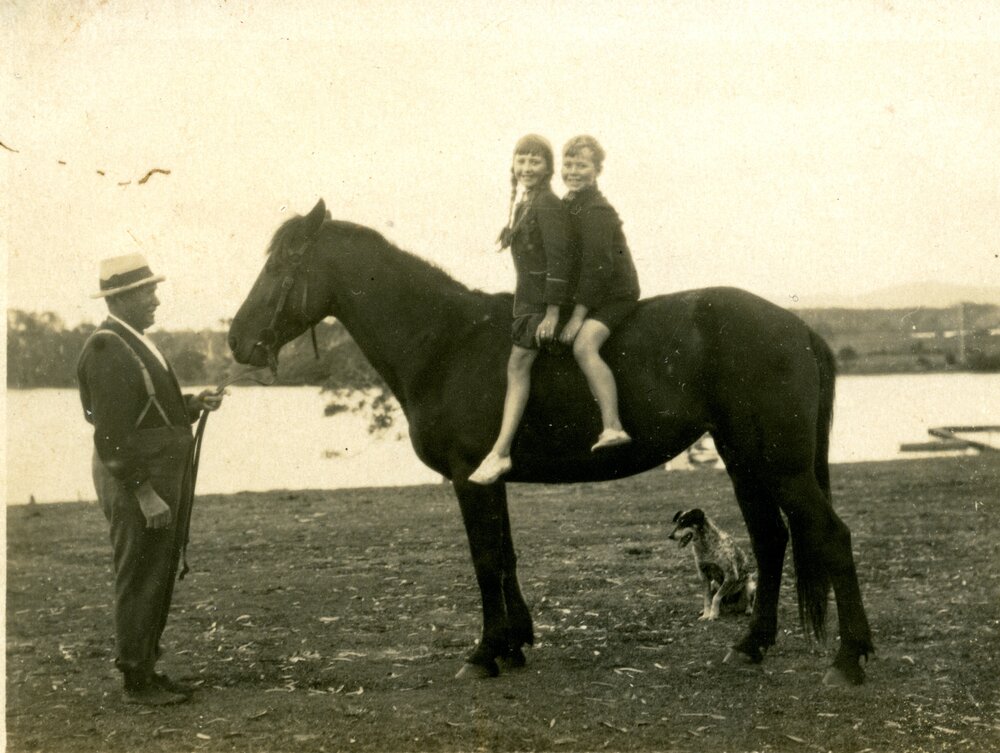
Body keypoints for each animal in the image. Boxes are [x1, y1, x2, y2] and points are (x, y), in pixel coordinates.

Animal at [228, 199, 873, 687]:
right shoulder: (488, 477)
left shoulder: (467, 477)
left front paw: (484, 654)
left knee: (830, 536)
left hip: (782, 465)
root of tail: (797, 327)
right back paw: (751, 645)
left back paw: (849, 659)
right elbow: (505, 556)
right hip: (744, 460)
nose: (236, 339)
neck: (445, 341)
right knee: (770, 539)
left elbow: (486, 560)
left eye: (284, 262)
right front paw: (515, 644)